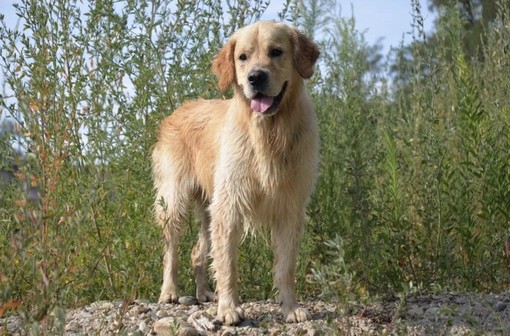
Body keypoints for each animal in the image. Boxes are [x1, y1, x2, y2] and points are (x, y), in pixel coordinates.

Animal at [151, 21, 318, 326]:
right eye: (242, 57)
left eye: (276, 52)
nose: (255, 77)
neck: (268, 133)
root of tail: (179, 109)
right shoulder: (229, 206)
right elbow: (227, 265)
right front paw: (229, 308)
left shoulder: (290, 208)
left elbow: (285, 267)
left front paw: (290, 308)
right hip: (174, 201)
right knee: (172, 250)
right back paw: (169, 291)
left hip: (208, 208)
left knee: (198, 252)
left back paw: (204, 293)